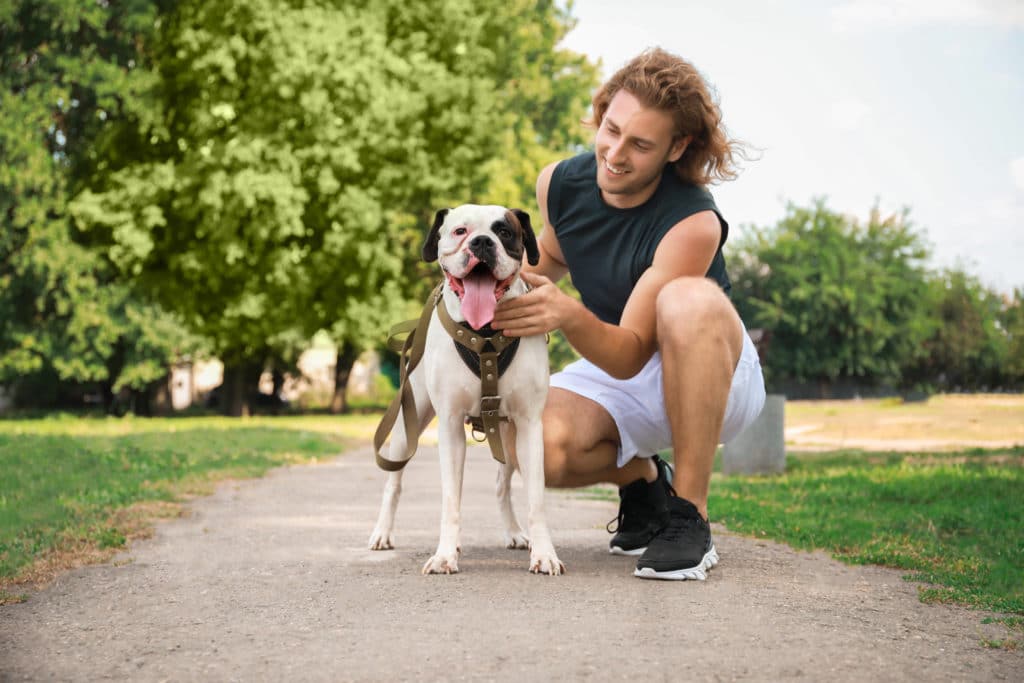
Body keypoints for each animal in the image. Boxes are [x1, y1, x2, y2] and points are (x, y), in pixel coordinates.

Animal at [368, 204, 565, 577]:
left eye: (505, 232)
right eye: (460, 231)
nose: (482, 242)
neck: (484, 333)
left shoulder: (529, 426)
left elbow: (536, 500)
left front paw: (544, 553)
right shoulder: (449, 426)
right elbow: (451, 500)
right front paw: (445, 555)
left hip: (509, 435)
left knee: (503, 485)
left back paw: (515, 533)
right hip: (407, 425)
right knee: (393, 482)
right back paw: (382, 533)